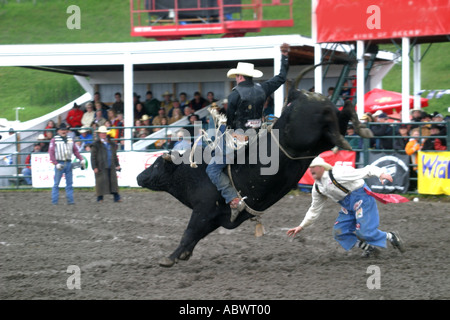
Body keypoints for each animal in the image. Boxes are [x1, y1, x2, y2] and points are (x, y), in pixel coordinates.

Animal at [137, 89, 370, 266]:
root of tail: (301, 94)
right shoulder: (215, 218)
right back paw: (360, 127)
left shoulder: (203, 211)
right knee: (343, 113)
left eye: (156, 165)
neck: (195, 174)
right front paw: (183, 255)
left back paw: (351, 133)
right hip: (320, 140)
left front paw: (169, 258)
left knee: (332, 116)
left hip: (307, 133)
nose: (139, 177)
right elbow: (195, 236)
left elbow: (189, 233)